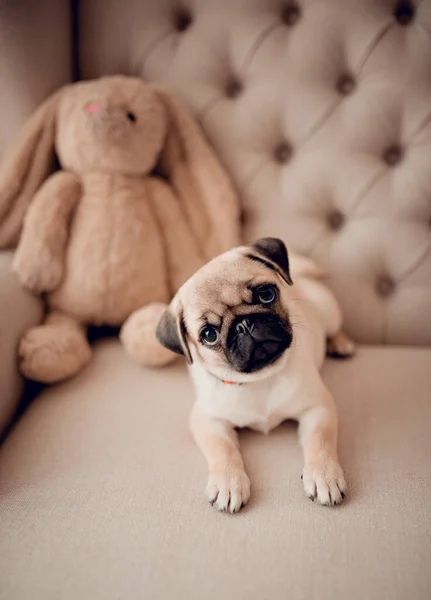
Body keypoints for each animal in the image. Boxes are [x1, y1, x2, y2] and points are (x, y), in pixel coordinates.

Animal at [156, 237, 354, 512]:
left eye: (266, 294)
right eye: (208, 334)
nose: (244, 324)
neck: (259, 379)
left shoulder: (317, 407)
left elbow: (320, 440)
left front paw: (324, 475)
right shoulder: (207, 420)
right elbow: (223, 449)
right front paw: (228, 482)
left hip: (330, 311)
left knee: (335, 328)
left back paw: (341, 344)